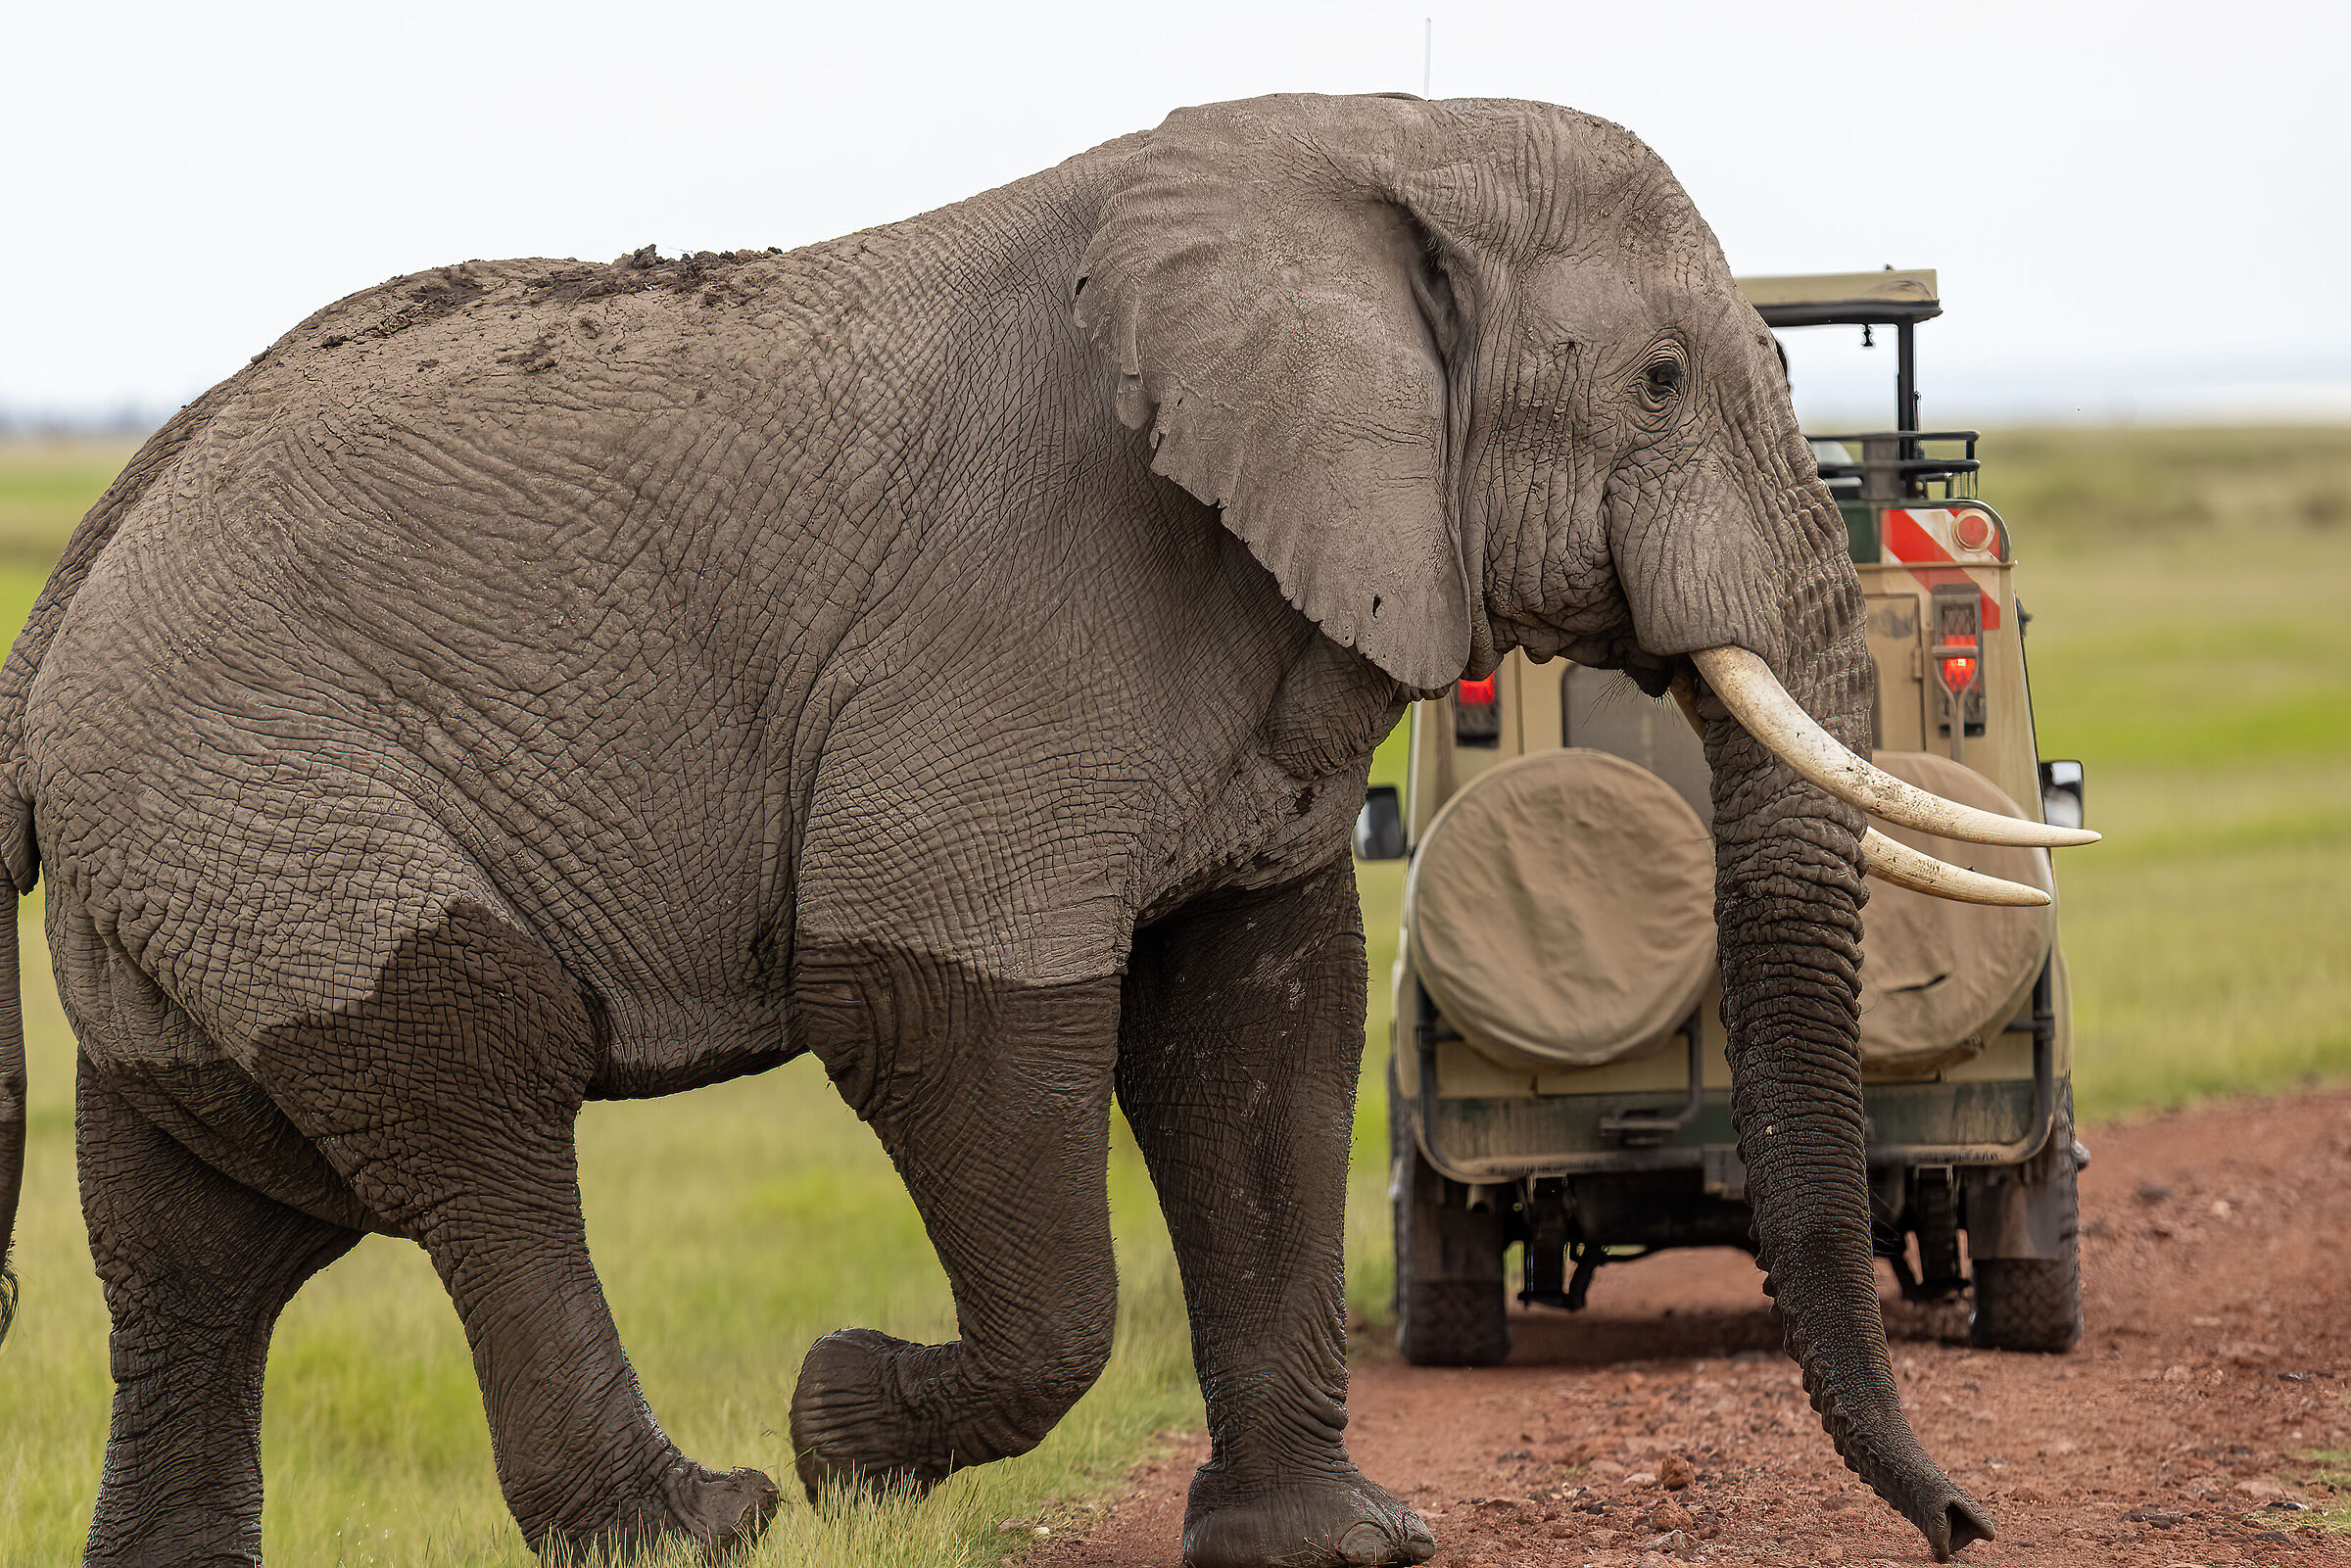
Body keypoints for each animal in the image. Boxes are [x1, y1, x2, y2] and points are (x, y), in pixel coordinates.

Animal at [0, 92, 2084, 1566]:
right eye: (1658, 379)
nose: (1966, 1525)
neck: (1371, 144)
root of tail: (93, 547)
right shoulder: (1026, 605)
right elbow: (928, 999)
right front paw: (842, 1435)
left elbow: (1261, 1015)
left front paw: (1337, 1546)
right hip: (263, 782)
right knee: (471, 1083)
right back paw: (701, 1521)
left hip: (193, 847)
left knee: (199, 1225)